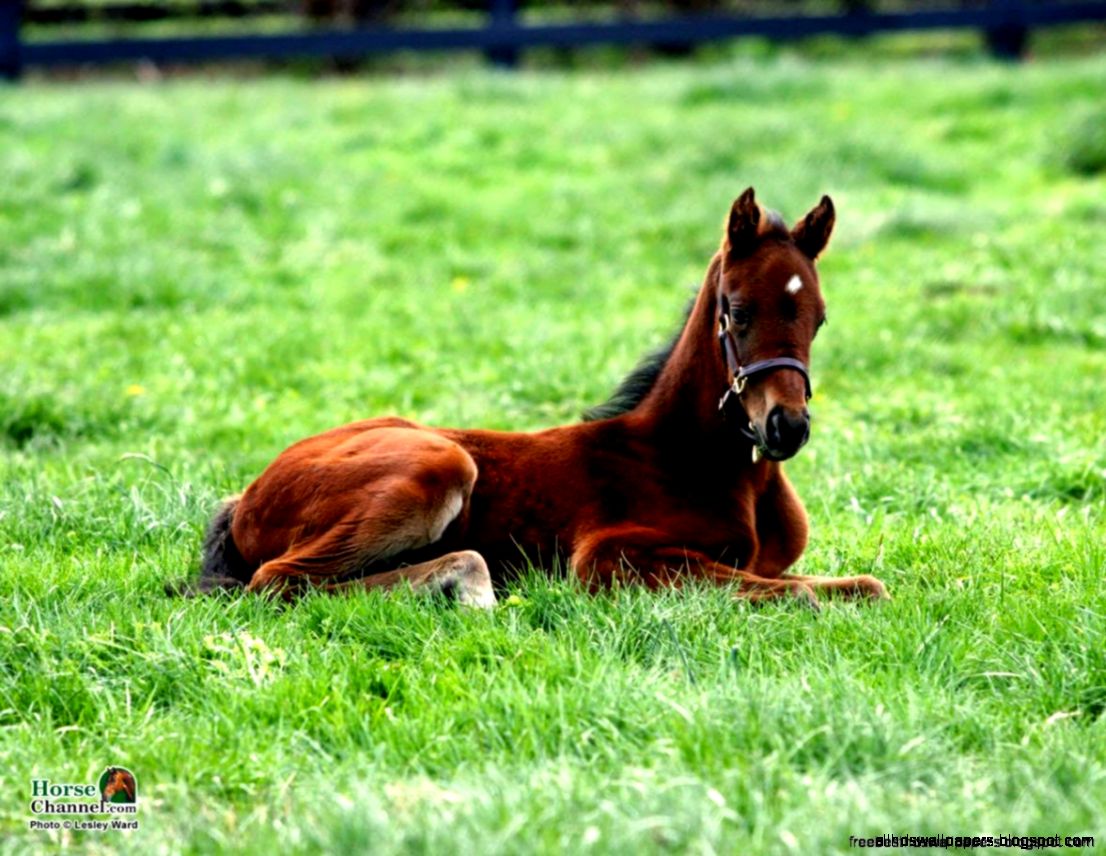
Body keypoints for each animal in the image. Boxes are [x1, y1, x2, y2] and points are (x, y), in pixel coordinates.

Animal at [177, 188, 888, 607]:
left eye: (819, 319)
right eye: (737, 312)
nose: (786, 427)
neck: (711, 466)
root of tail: (247, 495)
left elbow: (862, 585)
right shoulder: (608, 557)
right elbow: (803, 594)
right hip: (438, 463)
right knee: (281, 581)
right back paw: (468, 584)